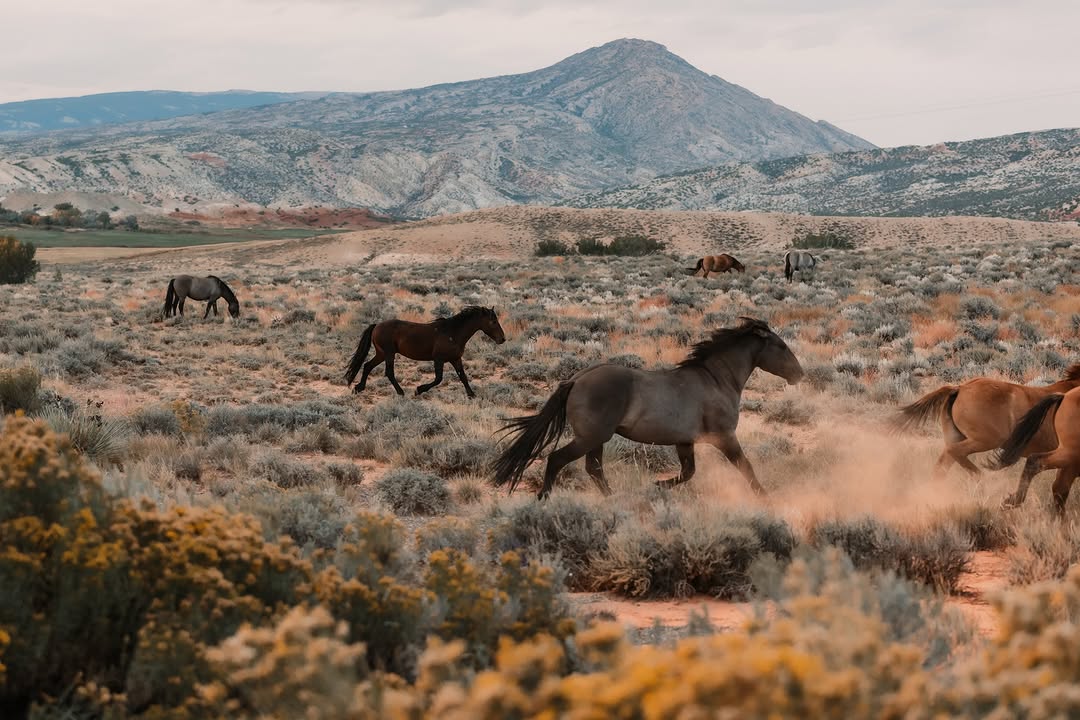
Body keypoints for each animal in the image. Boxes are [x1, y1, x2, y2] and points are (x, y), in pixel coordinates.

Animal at [343, 306, 507, 399]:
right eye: (493, 322)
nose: (503, 339)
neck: (453, 332)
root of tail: (377, 325)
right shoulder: (438, 359)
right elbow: (438, 379)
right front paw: (419, 390)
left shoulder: (456, 359)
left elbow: (463, 377)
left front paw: (472, 395)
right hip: (389, 353)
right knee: (389, 372)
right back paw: (401, 392)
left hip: (382, 354)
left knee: (367, 366)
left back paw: (358, 388)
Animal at [490, 317, 803, 498]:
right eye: (782, 346)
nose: (799, 374)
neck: (717, 380)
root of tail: (576, 379)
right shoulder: (724, 437)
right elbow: (745, 466)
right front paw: (764, 497)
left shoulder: (684, 441)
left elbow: (688, 472)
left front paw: (658, 486)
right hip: (591, 437)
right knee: (558, 460)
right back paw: (544, 498)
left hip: (596, 439)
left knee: (594, 469)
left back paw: (613, 499)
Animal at [989, 386, 1080, 515]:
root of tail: (1065, 396)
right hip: (1070, 453)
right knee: (1035, 462)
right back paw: (1015, 501)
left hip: (1071, 459)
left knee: (1060, 489)